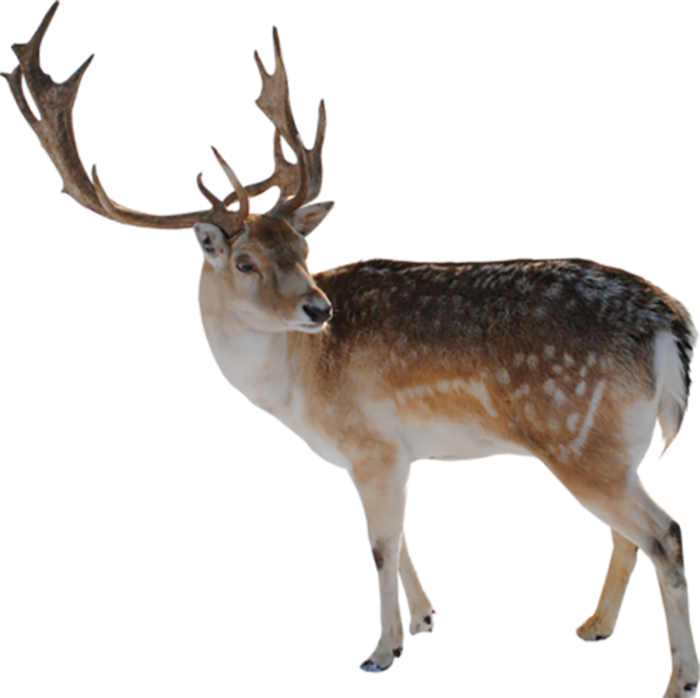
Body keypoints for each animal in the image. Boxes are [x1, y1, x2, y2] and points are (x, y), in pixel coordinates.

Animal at [2, 3, 699, 696]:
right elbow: (402, 536)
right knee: (631, 533)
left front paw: (381, 651)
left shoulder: (369, 444)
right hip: (612, 447)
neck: (297, 387)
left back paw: (677, 678)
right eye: (248, 261)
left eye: (304, 250)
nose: (319, 309)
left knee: (664, 531)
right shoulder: (395, 454)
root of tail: (668, 320)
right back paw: (593, 627)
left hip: (577, 436)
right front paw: (424, 620)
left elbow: (378, 546)